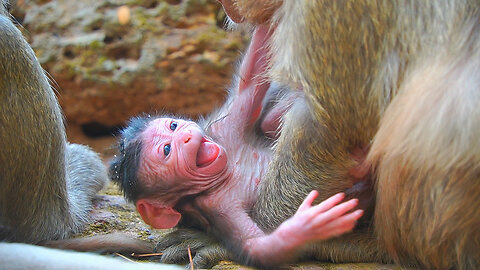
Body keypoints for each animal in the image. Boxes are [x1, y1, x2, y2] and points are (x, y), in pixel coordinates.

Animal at [110, 26, 362, 266]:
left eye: (173, 126)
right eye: (166, 150)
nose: (186, 136)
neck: (228, 168)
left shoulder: (225, 128)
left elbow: (251, 77)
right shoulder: (218, 207)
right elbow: (258, 247)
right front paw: (308, 225)